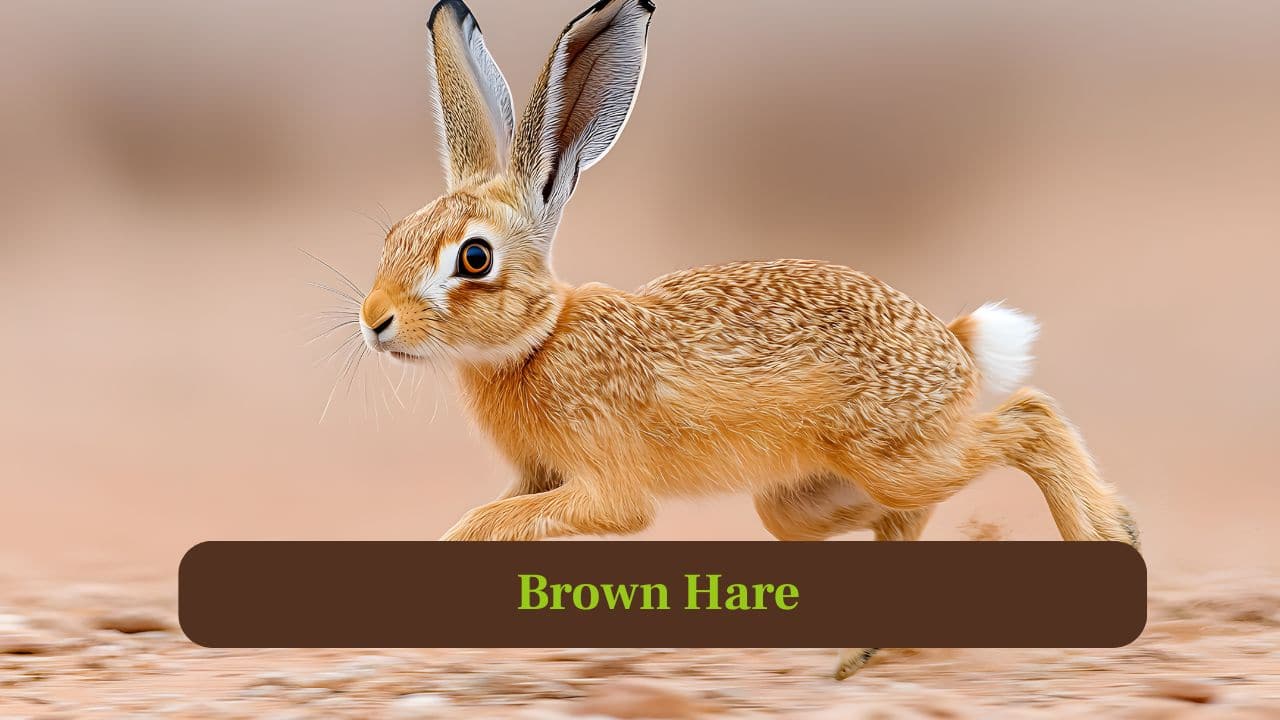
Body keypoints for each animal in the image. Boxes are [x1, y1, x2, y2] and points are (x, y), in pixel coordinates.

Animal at [355, 0, 1140, 679]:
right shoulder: (538, 474)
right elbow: (499, 510)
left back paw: (1109, 533)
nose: (374, 320)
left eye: (474, 258)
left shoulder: (605, 483)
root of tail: (952, 347)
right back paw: (861, 654)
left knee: (1030, 421)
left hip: (897, 456)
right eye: (394, 235)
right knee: (907, 506)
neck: (538, 340)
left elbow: (505, 519)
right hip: (805, 498)